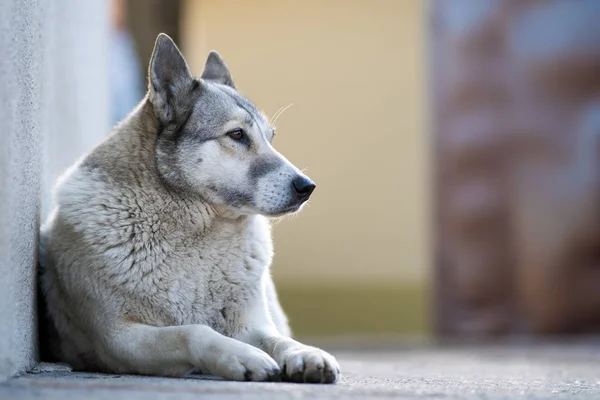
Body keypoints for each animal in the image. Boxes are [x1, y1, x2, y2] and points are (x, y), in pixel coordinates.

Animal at [39, 32, 340, 382]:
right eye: (237, 134)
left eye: (271, 137)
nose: (307, 187)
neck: (200, 233)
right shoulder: (119, 339)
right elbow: (192, 331)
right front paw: (243, 357)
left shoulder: (250, 325)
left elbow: (277, 340)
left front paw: (304, 353)